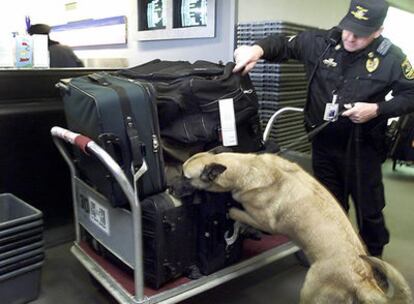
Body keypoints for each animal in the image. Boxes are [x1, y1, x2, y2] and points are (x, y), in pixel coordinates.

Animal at [183, 151, 412, 302]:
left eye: (185, 177)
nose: (173, 186)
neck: (247, 168)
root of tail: (362, 278)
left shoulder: (263, 220)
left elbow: (237, 213)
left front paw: (234, 217)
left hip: (310, 290)